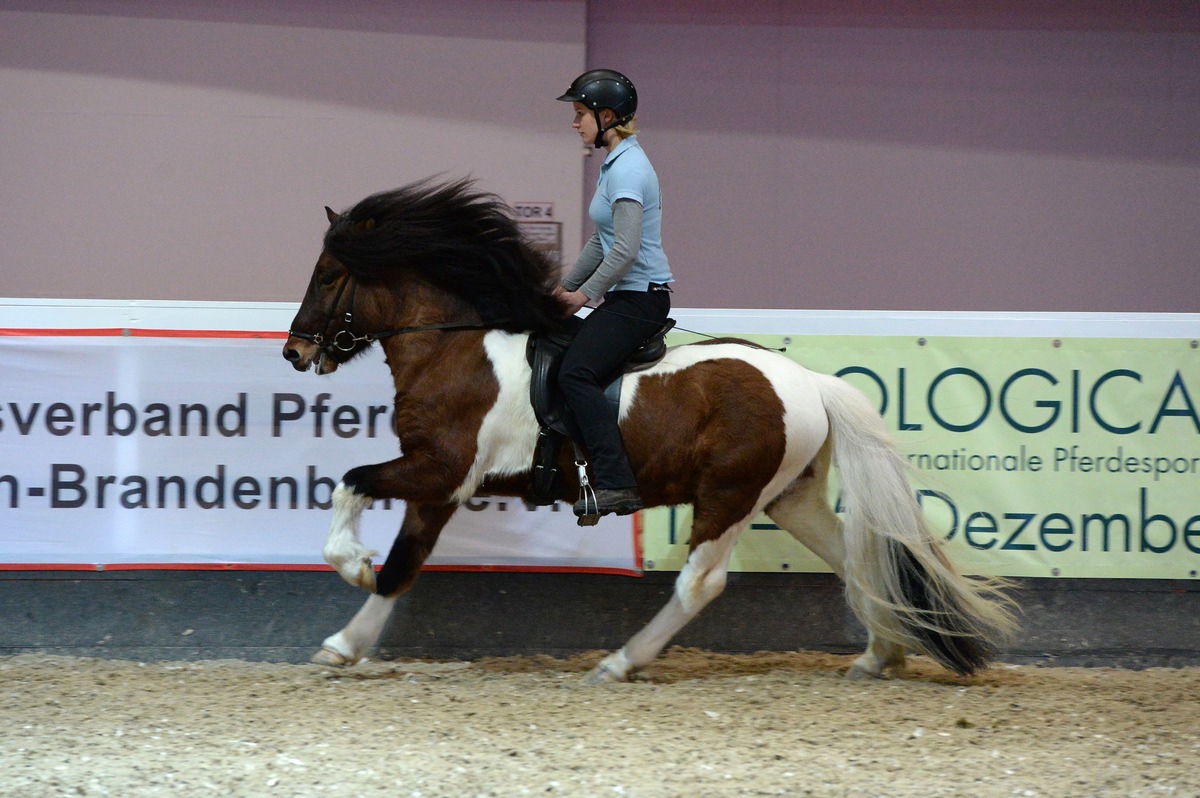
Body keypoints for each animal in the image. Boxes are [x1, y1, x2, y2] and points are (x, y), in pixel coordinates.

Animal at [283, 177, 1022, 681]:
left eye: (329, 274)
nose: (294, 351)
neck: (455, 347)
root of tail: (810, 382)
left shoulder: (440, 468)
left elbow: (351, 489)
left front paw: (350, 565)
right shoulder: (442, 485)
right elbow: (404, 565)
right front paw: (344, 644)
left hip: (730, 496)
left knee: (700, 583)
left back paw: (620, 661)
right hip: (789, 497)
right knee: (853, 557)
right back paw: (880, 654)